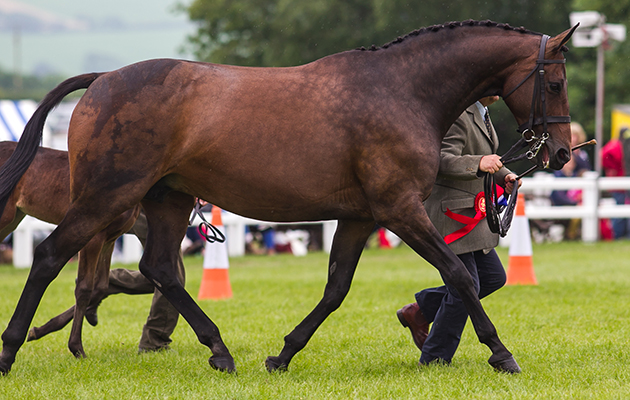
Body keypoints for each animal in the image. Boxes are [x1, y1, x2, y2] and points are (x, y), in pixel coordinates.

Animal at [0, 142, 142, 358]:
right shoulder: (93, 238)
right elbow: (84, 288)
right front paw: (77, 347)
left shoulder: (110, 239)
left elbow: (101, 285)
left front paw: (91, 316)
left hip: (12, 219)